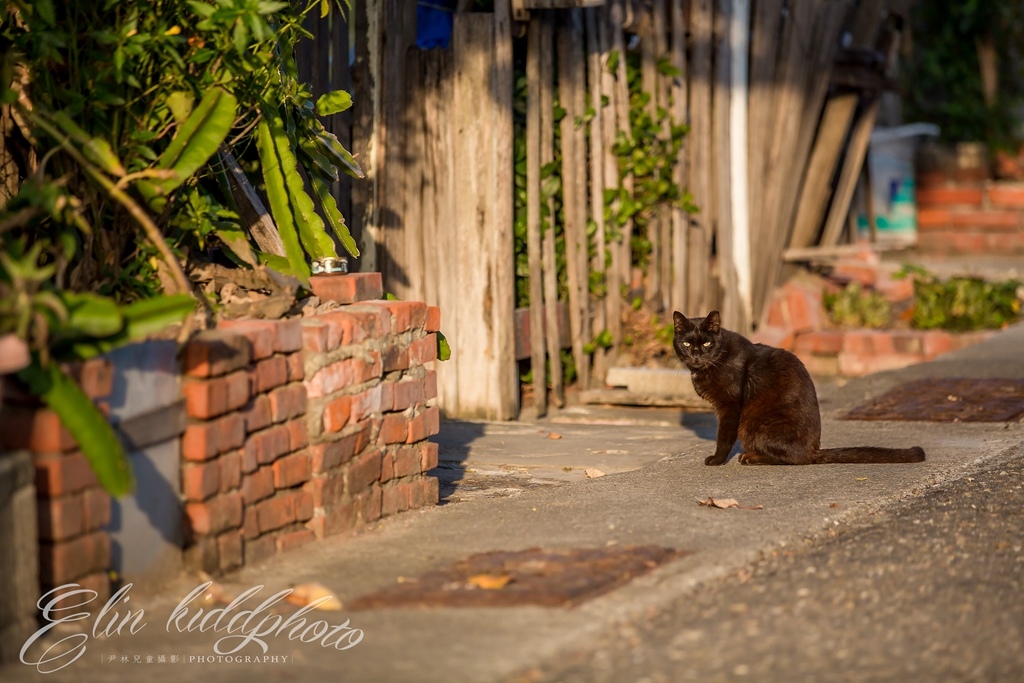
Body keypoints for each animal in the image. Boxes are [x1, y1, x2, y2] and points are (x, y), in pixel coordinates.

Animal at [675, 313, 925, 466]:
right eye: (686, 343)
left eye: (707, 343)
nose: (696, 355)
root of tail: (814, 450)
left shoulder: (730, 405)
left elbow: (724, 436)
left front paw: (717, 460)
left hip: (758, 426)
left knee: (793, 459)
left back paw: (750, 457)